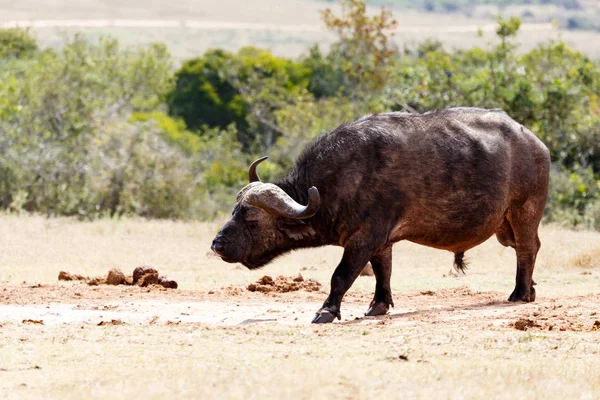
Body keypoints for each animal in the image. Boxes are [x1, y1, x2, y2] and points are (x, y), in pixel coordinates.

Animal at [213, 108, 552, 324]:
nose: (217, 245)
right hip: (503, 227)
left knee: (527, 248)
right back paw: (532, 288)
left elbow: (342, 275)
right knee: (527, 249)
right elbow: (382, 271)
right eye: (233, 211)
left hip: (523, 211)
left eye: (251, 218)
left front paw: (326, 311)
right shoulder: (381, 242)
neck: (341, 180)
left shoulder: (364, 238)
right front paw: (378, 306)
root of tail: (537, 144)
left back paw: (520, 293)